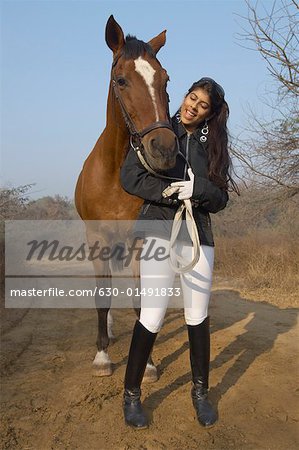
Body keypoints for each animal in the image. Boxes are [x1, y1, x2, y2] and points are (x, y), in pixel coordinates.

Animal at [75, 14, 178, 380]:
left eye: (165, 79)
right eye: (121, 80)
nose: (164, 148)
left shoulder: (138, 240)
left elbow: (139, 300)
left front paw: (147, 362)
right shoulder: (97, 238)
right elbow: (101, 298)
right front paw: (102, 357)